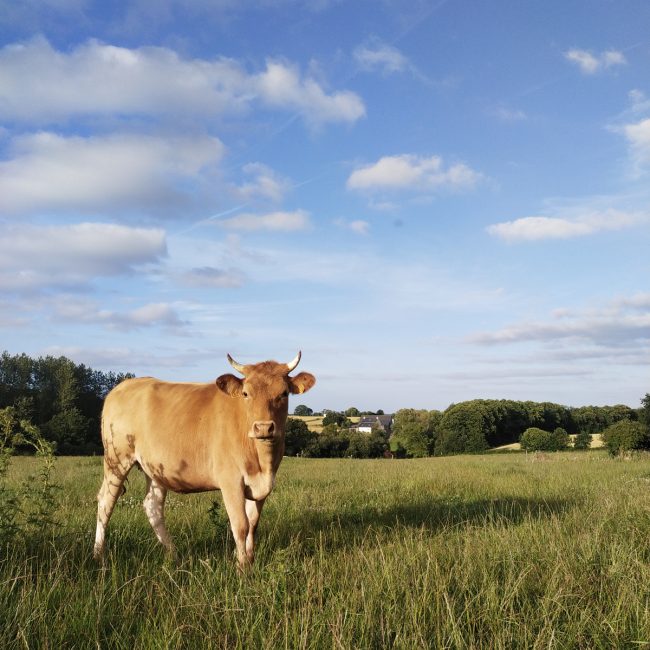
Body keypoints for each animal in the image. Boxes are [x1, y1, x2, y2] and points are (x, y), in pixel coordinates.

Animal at [93, 352, 315, 568]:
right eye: (246, 393)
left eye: (284, 393)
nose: (263, 428)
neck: (262, 461)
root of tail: (123, 386)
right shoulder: (231, 481)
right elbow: (240, 525)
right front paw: (242, 567)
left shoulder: (261, 485)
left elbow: (253, 523)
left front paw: (250, 560)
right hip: (116, 459)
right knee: (106, 501)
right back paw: (99, 555)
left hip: (155, 469)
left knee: (152, 507)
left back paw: (174, 555)